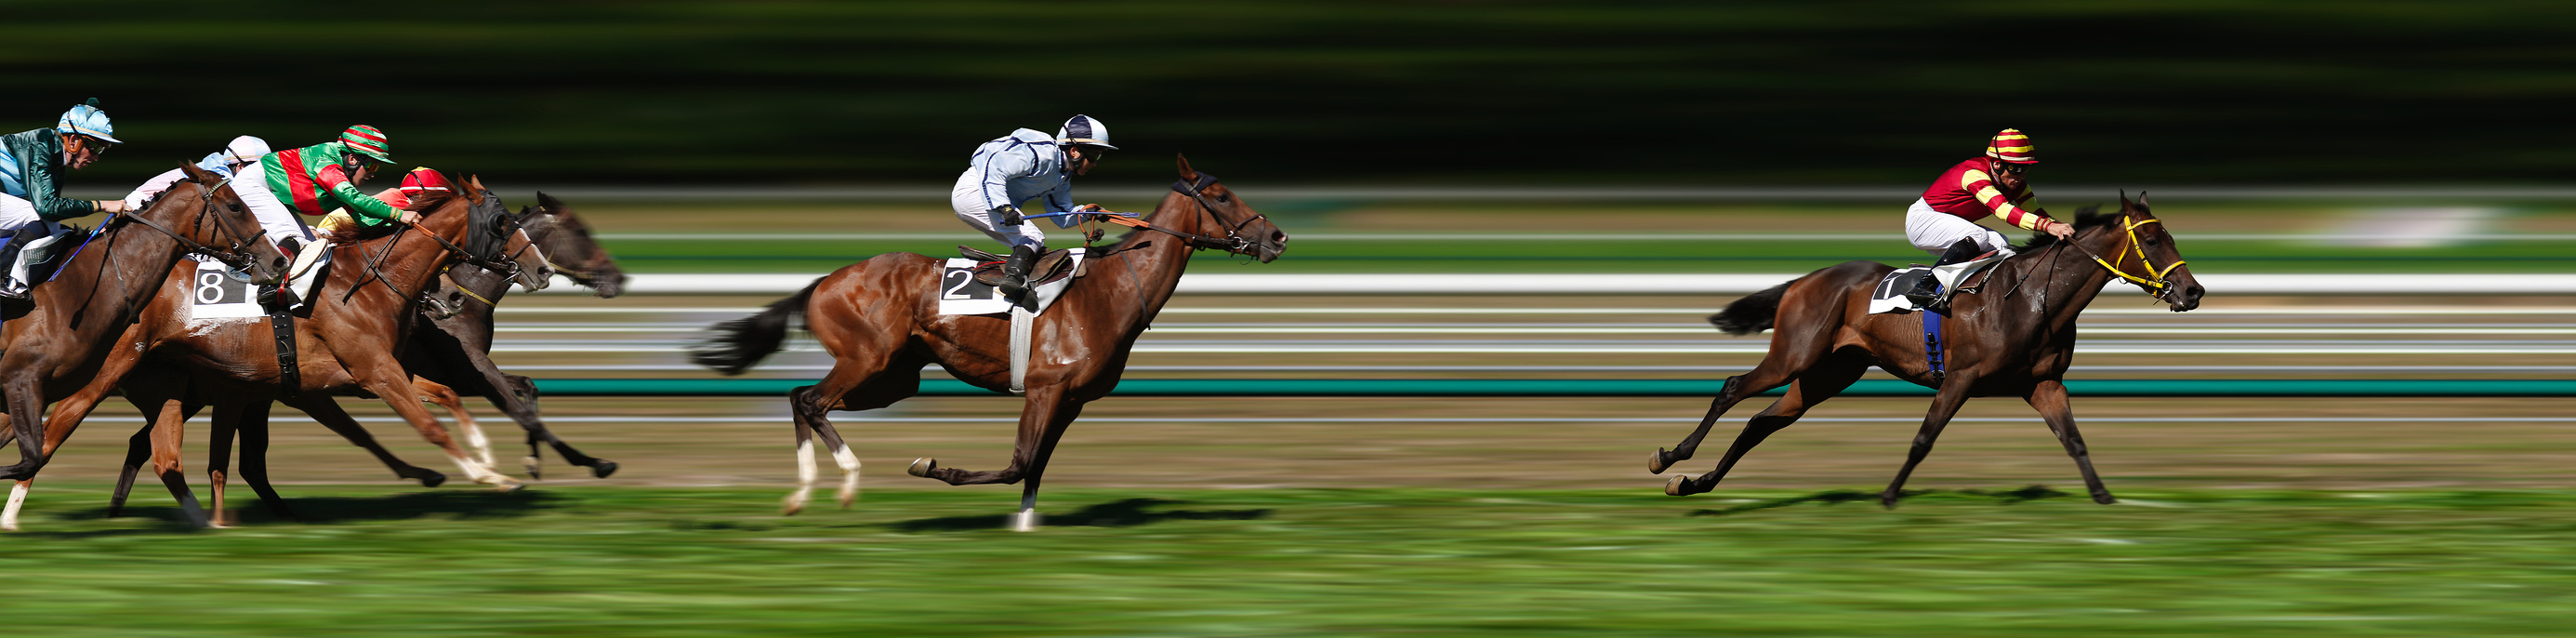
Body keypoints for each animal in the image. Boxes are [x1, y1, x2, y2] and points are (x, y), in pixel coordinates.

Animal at [695, 156, 1288, 529]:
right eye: (1221, 195)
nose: (1278, 237)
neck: (1111, 289)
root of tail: (824, 281)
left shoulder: (1071, 400)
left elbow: (1037, 466)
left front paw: (1024, 529)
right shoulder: (1045, 388)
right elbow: (1019, 463)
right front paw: (933, 467)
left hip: (894, 380)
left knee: (801, 397)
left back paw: (803, 494)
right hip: (867, 358)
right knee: (814, 401)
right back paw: (844, 482)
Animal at [1648, 193, 2194, 509]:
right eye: (2151, 239)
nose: (2192, 292)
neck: (2032, 299)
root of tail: (1805, 280)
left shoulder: (2043, 384)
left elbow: (2075, 441)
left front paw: (2104, 497)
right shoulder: (1960, 378)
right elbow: (1923, 439)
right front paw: (1890, 495)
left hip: (1830, 372)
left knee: (1763, 421)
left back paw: (1696, 483)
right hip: (1795, 356)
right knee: (1732, 388)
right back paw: (1670, 458)